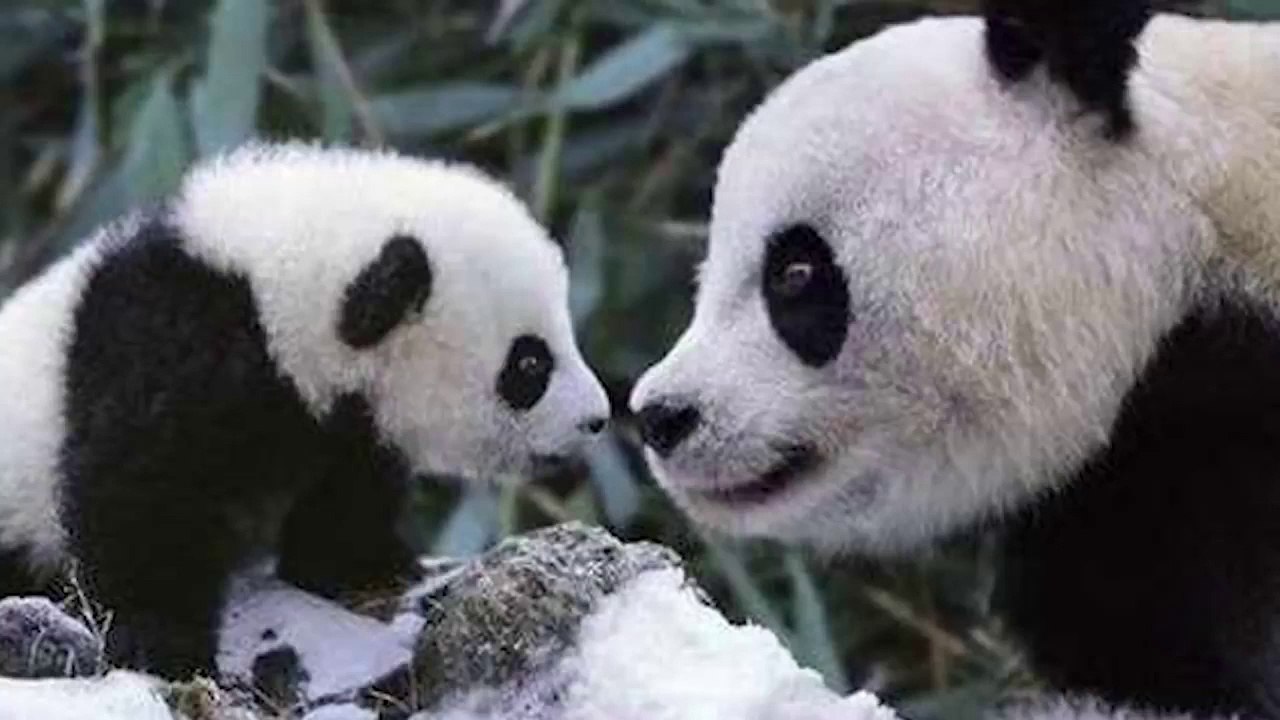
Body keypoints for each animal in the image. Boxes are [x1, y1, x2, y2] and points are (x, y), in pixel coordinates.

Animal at [0, 142, 611, 679]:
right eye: (529, 364)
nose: (597, 419)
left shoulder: (338, 422)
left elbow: (348, 491)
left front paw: (363, 564)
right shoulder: (169, 349)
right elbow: (139, 492)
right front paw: (162, 643)